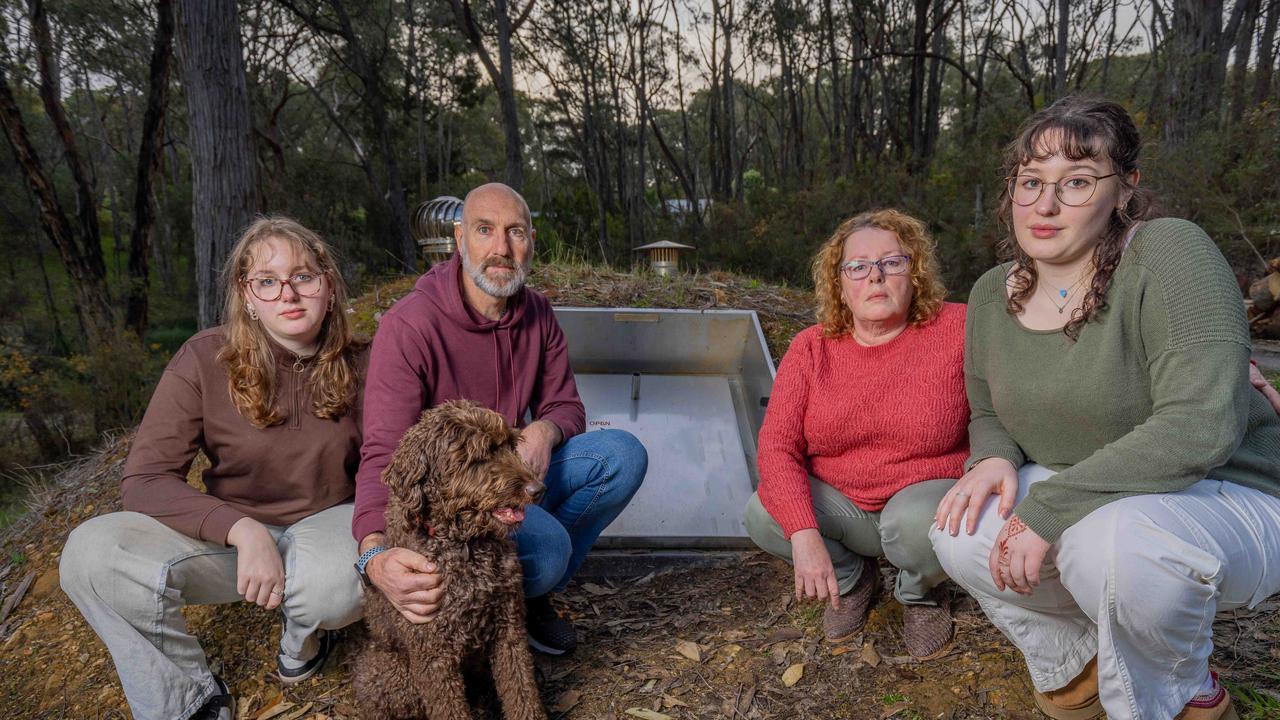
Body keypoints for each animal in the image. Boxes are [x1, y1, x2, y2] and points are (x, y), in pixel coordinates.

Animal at [353, 397, 547, 717]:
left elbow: (522, 692)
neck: (464, 544)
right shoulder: (433, 655)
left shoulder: (509, 630)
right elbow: (448, 708)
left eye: (510, 445)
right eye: (479, 455)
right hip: (393, 674)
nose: (538, 489)